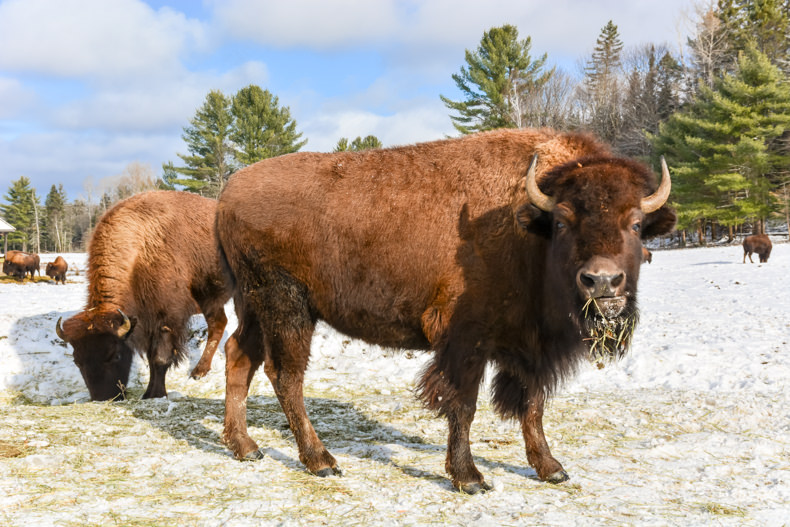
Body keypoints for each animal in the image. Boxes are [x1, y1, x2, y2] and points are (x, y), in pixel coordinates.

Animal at [57, 192, 234, 402]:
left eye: (115, 355)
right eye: (77, 361)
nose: (104, 398)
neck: (141, 250)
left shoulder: (166, 320)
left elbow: (160, 358)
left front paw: (156, 394)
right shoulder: (147, 322)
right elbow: (151, 359)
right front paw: (149, 393)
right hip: (210, 301)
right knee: (218, 324)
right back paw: (199, 372)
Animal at [215, 129, 676, 496]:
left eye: (636, 224)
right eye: (563, 221)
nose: (603, 282)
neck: (528, 227)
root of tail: (225, 196)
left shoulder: (528, 349)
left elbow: (533, 406)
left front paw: (551, 468)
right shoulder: (465, 341)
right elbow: (463, 406)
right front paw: (470, 478)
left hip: (253, 306)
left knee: (239, 358)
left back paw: (245, 448)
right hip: (287, 306)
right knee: (285, 374)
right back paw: (321, 460)